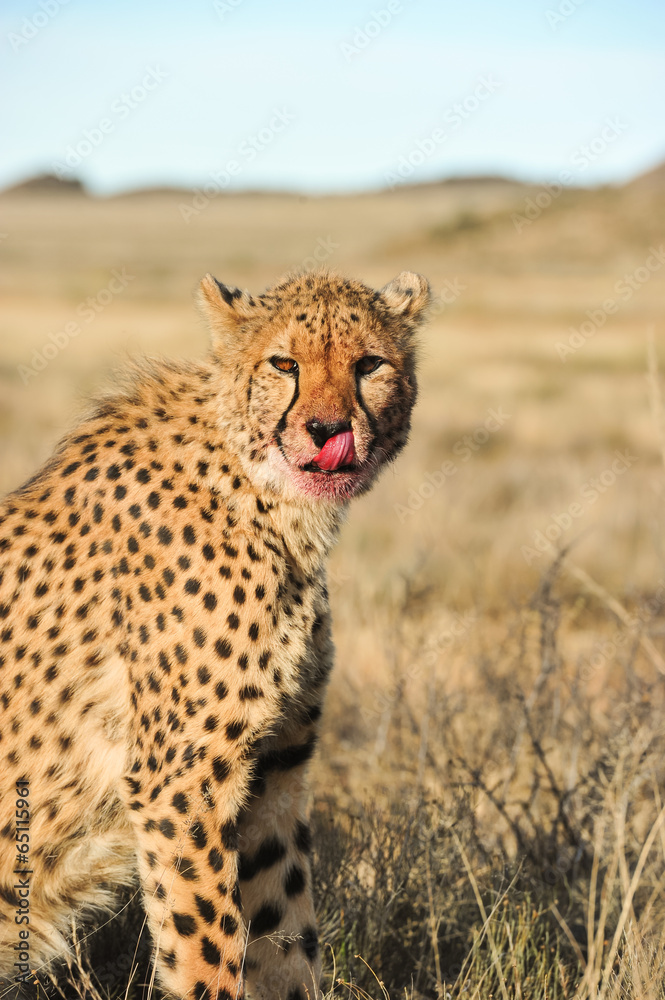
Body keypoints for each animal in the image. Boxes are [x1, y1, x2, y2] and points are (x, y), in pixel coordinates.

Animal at [0, 267, 430, 1000]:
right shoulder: (180, 781)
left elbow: (285, 938)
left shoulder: (276, 768)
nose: (327, 430)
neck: (270, 501)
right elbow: (206, 949)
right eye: (283, 364)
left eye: (369, 364)